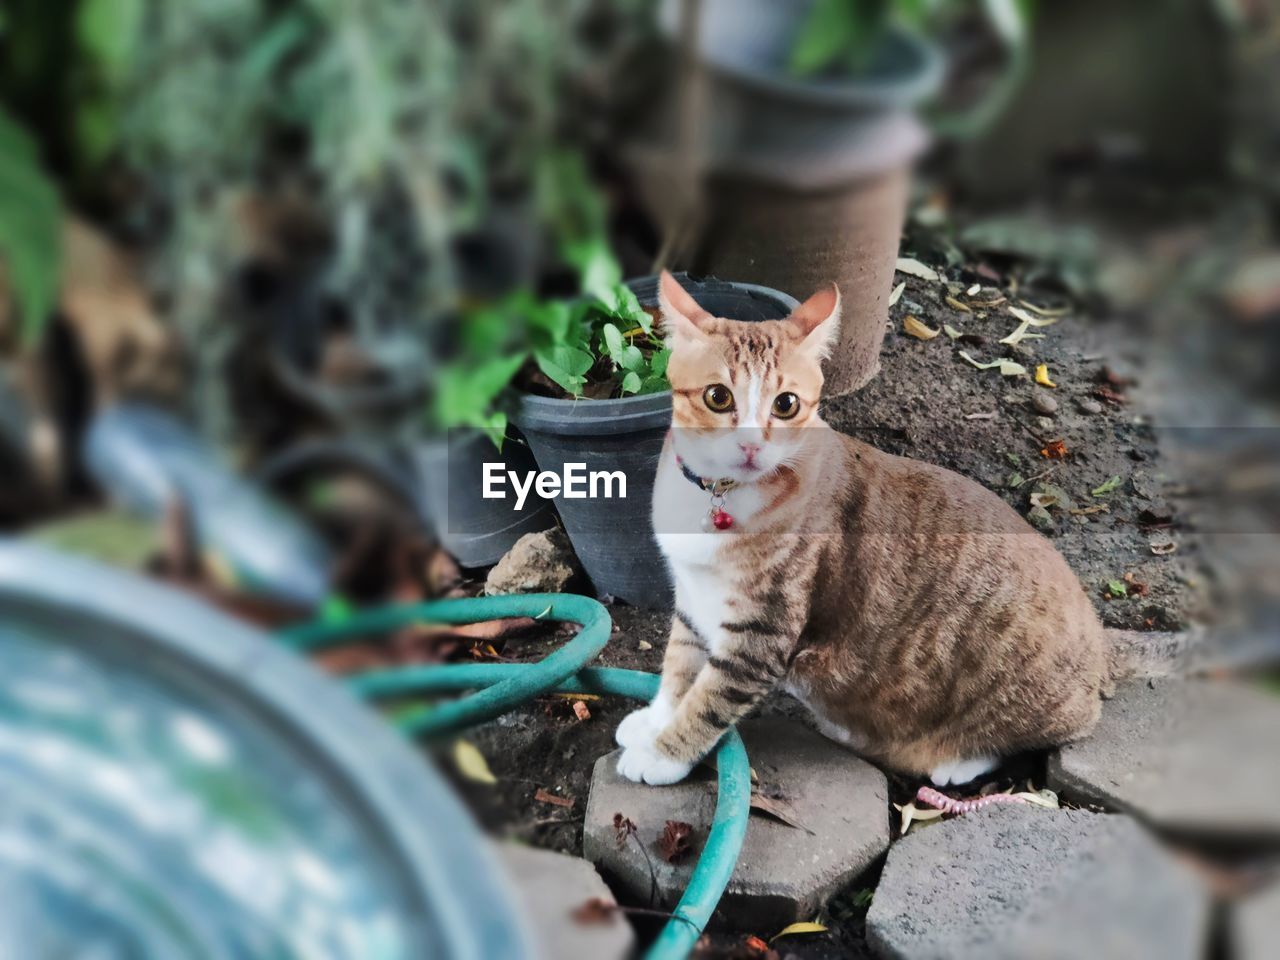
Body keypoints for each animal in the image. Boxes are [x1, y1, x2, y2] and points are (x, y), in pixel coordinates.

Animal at [614, 271, 1116, 788]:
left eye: (786, 404)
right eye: (718, 397)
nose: (751, 446)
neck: (720, 493)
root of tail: (1101, 647)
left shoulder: (764, 631)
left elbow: (711, 697)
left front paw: (664, 753)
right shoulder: (693, 596)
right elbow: (680, 664)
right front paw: (655, 721)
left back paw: (957, 762)